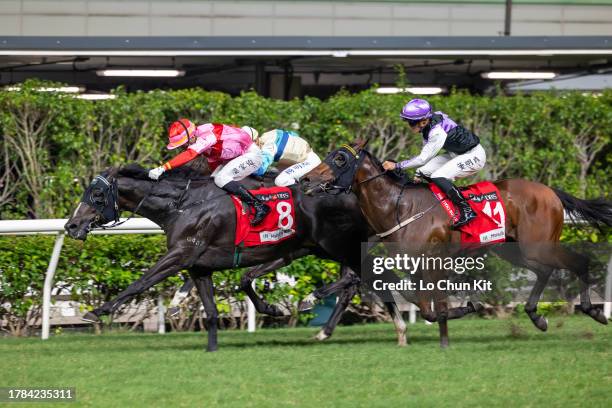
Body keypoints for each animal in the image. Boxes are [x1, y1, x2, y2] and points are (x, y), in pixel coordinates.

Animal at [65, 164, 406, 350]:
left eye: (97, 194)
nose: (71, 225)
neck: (183, 204)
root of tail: (354, 192)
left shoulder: (180, 254)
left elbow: (141, 282)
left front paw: (96, 311)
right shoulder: (199, 265)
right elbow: (220, 300)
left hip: (336, 245)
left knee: (358, 279)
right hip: (315, 247)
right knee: (357, 281)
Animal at [302, 140, 612, 348]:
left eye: (340, 158)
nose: (306, 179)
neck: (399, 206)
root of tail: (550, 191)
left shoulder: (434, 262)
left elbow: (430, 306)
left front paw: (459, 317)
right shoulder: (412, 265)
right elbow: (422, 304)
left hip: (538, 245)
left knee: (580, 261)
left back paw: (594, 311)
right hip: (514, 250)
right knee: (545, 271)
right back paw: (537, 317)